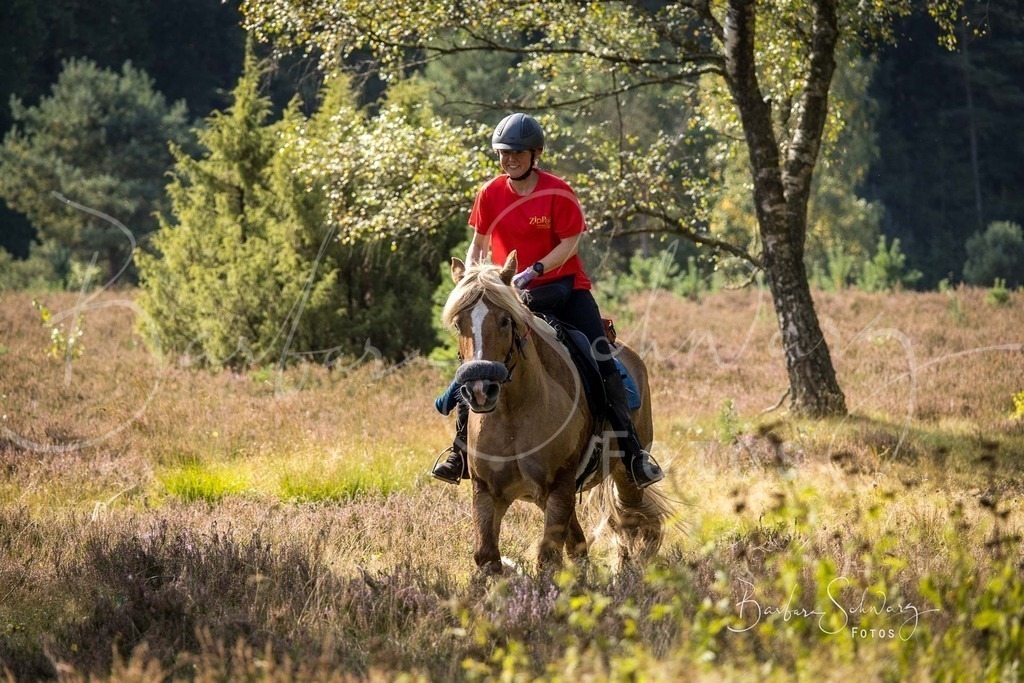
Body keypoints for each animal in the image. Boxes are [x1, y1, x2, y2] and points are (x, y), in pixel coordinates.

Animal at [441, 251, 671, 574]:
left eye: (505, 321)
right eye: (459, 324)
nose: (480, 389)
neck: (513, 413)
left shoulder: (558, 488)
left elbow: (547, 559)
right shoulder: (487, 492)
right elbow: (487, 556)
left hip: (622, 476)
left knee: (631, 523)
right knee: (580, 545)